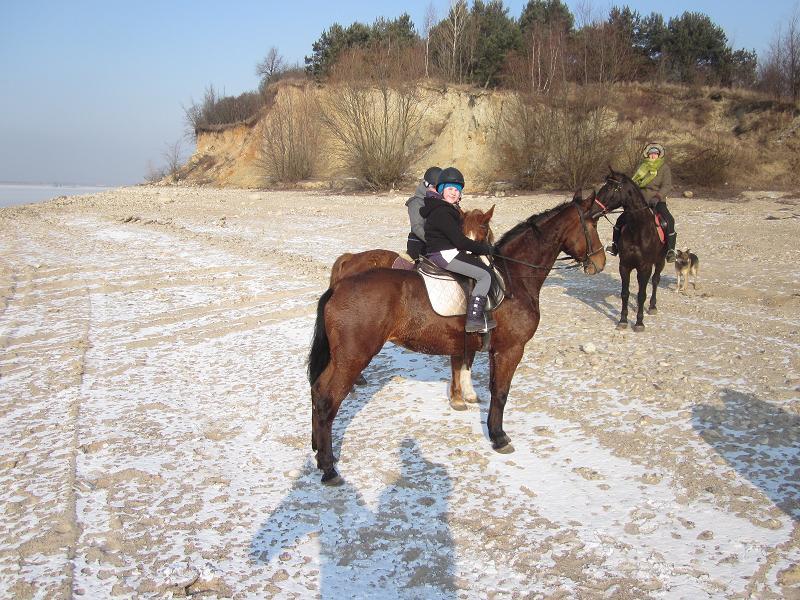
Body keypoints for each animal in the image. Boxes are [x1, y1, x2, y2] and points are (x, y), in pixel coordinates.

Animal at [592, 169, 668, 330]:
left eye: (610, 188)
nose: (593, 210)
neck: (637, 230)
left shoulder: (644, 267)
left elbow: (641, 294)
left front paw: (639, 322)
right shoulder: (625, 266)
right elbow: (625, 293)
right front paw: (623, 320)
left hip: (660, 261)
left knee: (655, 280)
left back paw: (652, 306)